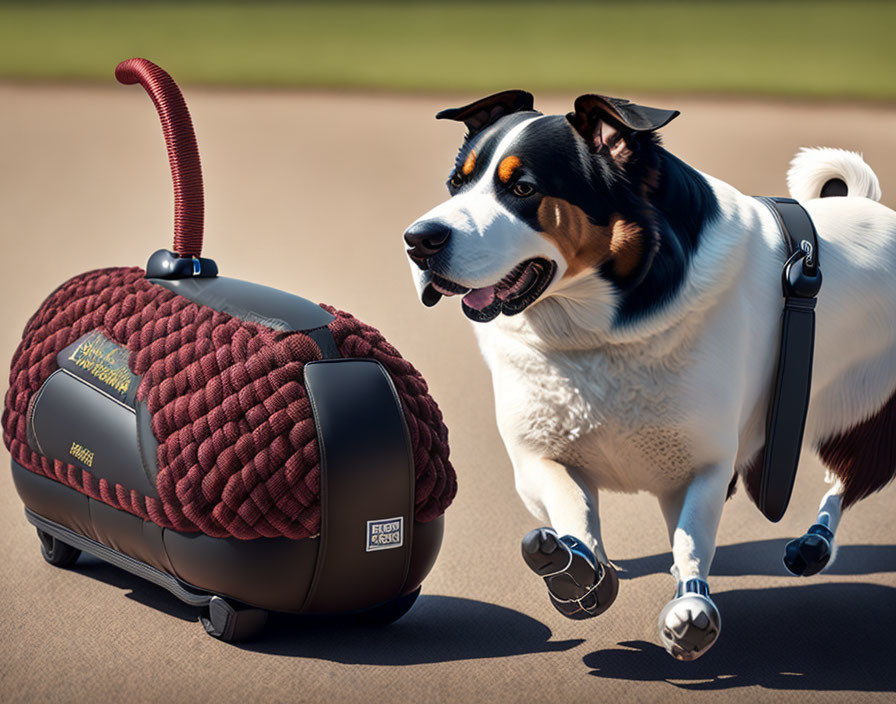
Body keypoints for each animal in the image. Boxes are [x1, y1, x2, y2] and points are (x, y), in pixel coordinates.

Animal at [406, 89, 896, 660]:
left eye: (523, 188)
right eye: (455, 183)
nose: (417, 240)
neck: (597, 332)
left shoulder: (702, 465)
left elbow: (689, 540)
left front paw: (691, 605)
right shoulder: (538, 456)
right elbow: (572, 508)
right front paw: (580, 571)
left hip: (868, 413)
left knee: (852, 474)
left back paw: (816, 540)